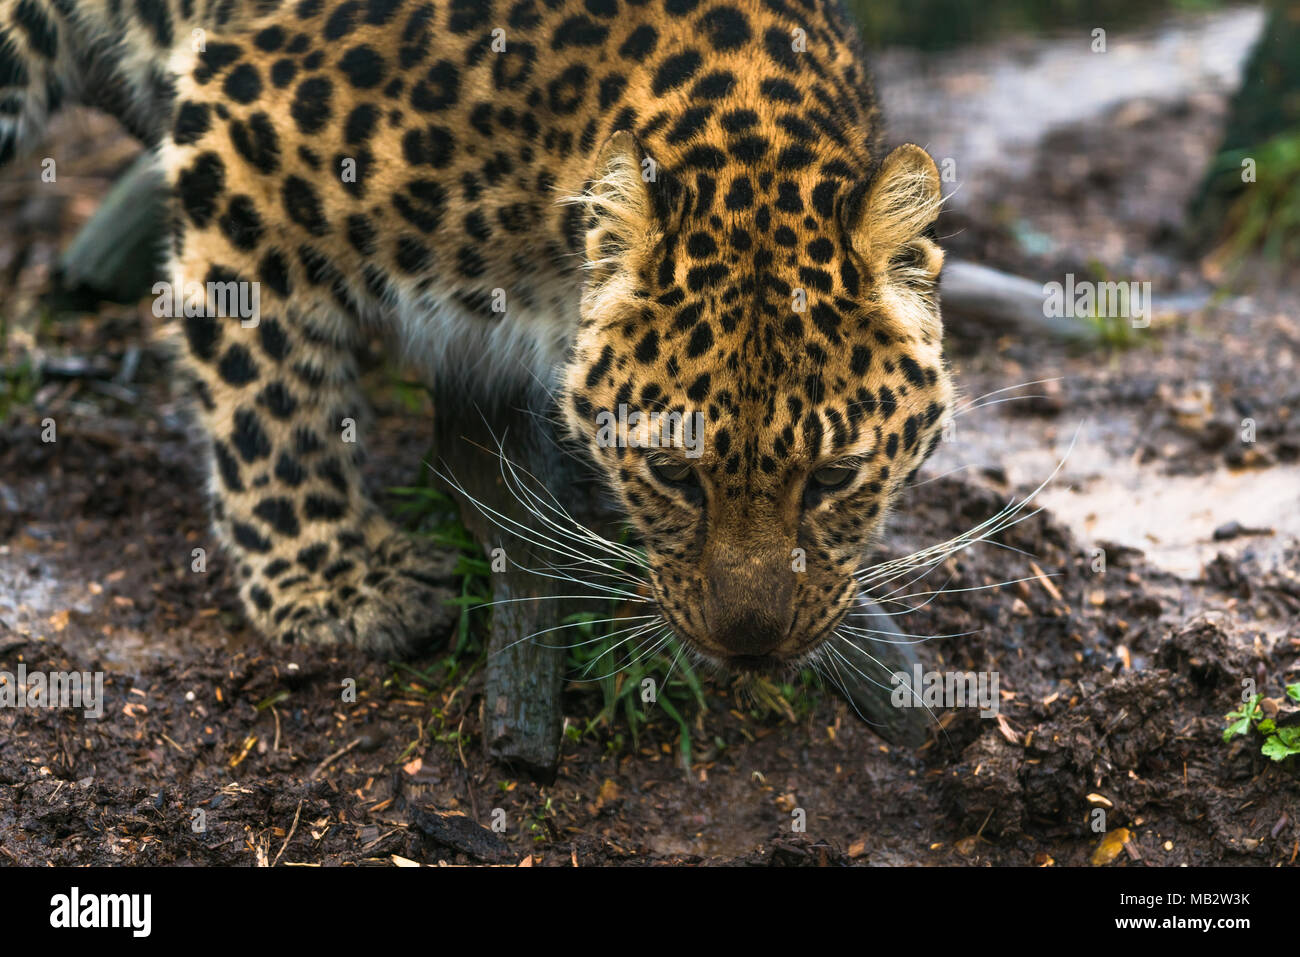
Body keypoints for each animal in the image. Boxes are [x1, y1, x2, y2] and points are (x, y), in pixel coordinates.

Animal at [0, 0, 952, 674]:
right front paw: (336, 581)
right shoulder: (239, 136)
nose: (752, 646)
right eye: (673, 473)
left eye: (834, 477)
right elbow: (265, 395)